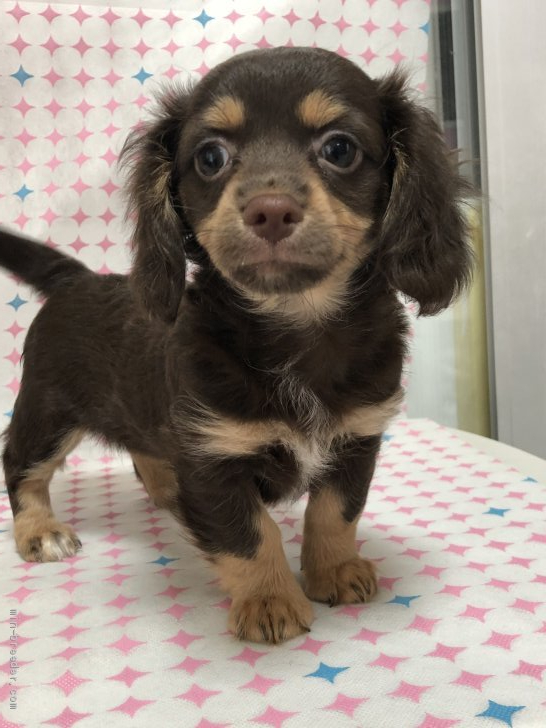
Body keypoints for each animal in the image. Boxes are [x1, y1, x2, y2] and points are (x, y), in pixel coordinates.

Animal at [0, 48, 470, 644]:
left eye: (339, 148)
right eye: (210, 157)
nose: (270, 209)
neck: (295, 327)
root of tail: (74, 278)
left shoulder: (356, 438)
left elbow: (335, 511)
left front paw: (335, 570)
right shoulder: (213, 458)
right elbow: (250, 534)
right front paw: (270, 601)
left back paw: (164, 490)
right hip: (49, 412)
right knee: (21, 465)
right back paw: (40, 529)